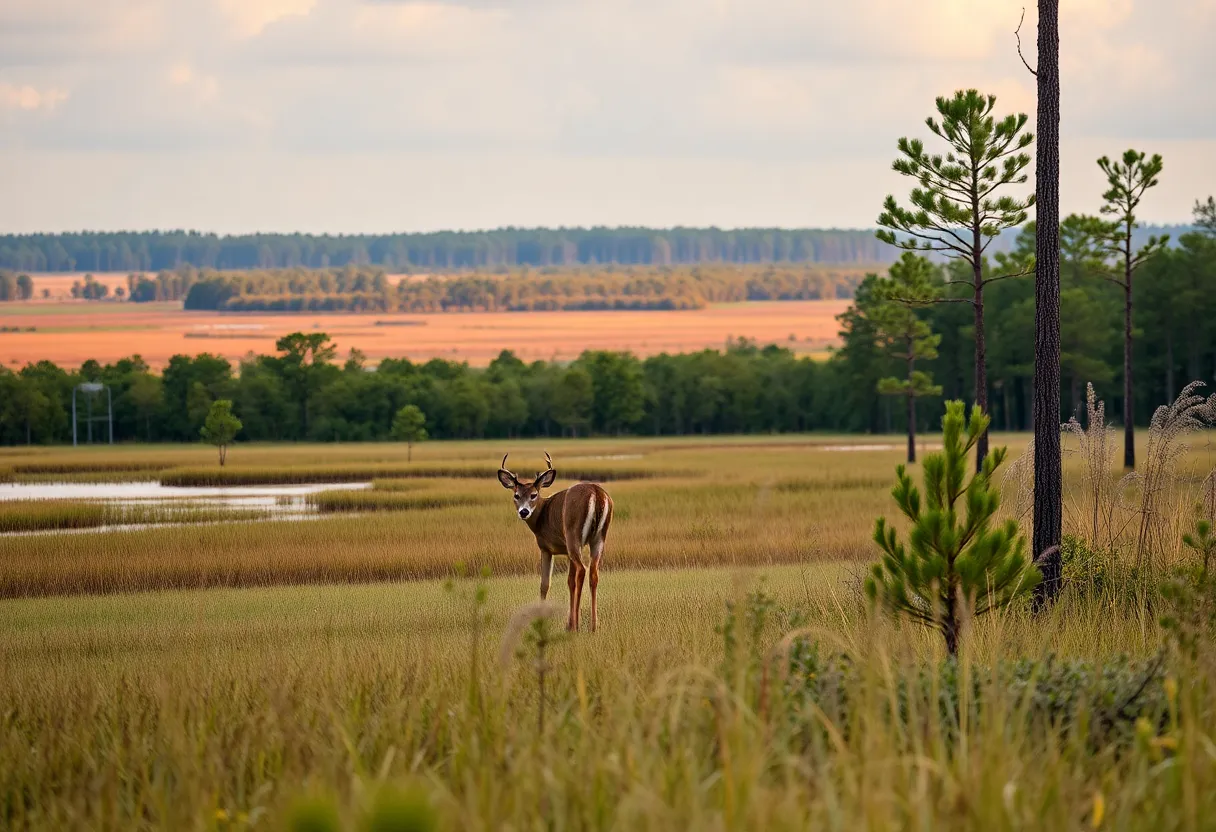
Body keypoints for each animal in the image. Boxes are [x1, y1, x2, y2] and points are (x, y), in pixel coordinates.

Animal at [498, 452, 613, 632]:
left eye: (533, 495)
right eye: (516, 495)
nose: (524, 512)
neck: (541, 517)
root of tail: (597, 494)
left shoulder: (546, 548)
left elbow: (545, 583)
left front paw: (544, 621)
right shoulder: (568, 551)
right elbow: (569, 582)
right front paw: (569, 622)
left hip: (573, 534)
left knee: (582, 569)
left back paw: (578, 626)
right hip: (599, 538)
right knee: (593, 572)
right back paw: (594, 626)